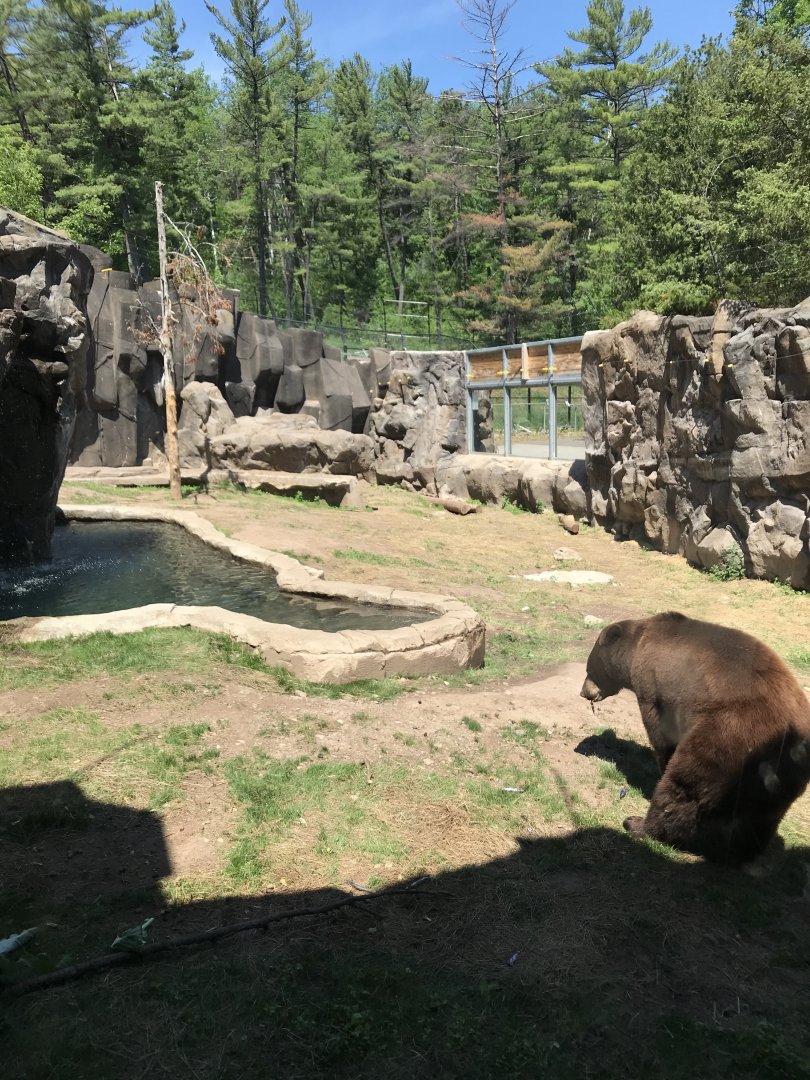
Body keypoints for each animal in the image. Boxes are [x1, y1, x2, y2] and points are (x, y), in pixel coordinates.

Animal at [580, 611, 810, 865]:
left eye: (590, 669)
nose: (584, 692)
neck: (637, 647)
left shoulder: (655, 688)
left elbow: (661, 733)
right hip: (775, 778)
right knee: (759, 818)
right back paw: (742, 852)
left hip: (725, 738)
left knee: (683, 787)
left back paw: (638, 824)